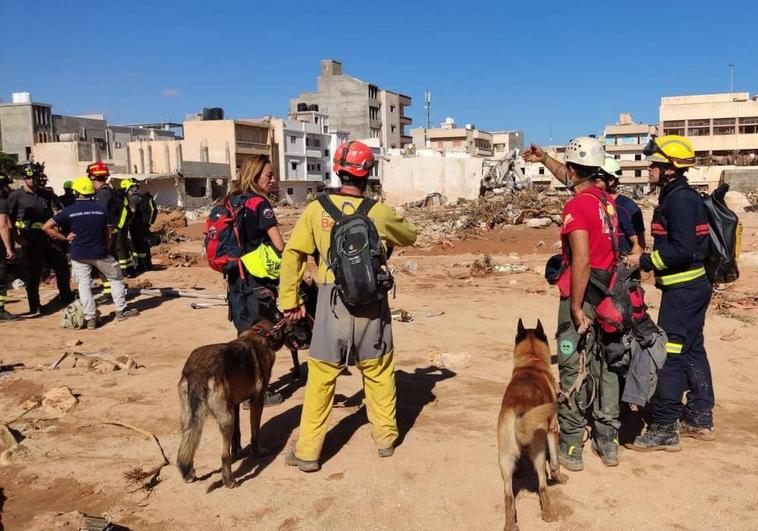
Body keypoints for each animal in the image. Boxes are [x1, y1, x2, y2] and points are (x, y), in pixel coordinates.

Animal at [177, 318, 286, 488]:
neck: (258, 334)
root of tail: (198, 371)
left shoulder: (235, 405)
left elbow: (237, 433)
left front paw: (238, 451)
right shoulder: (257, 402)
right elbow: (255, 432)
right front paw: (257, 451)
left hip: (190, 419)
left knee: (187, 446)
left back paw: (189, 474)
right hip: (226, 419)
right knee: (223, 455)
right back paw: (229, 480)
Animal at [498, 318, 568, 528]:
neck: (532, 363)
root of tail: (519, 411)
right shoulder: (552, 430)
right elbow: (555, 463)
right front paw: (559, 477)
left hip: (504, 460)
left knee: (508, 497)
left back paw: (510, 525)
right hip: (539, 454)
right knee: (542, 486)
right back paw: (548, 513)